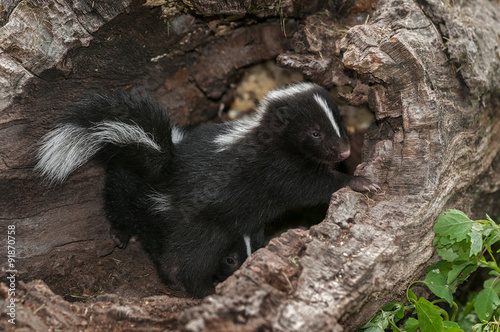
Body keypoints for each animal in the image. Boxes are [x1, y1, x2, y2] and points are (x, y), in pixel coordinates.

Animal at [35, 81, 378, 296]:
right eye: (315, 133)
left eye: (340, 124)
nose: (345, 152)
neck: (269, 139)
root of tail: (167, 173)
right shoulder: (276, 171)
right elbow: (310, 186)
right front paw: (359, 181)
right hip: (200, 225)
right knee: (188, 258)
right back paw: (197, 287)